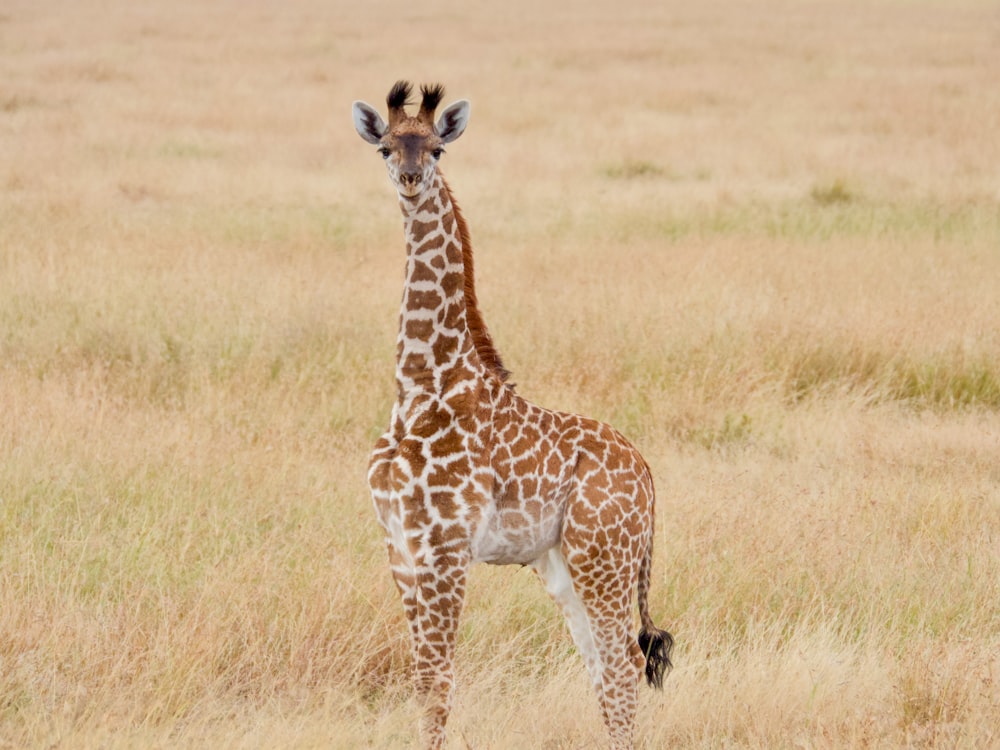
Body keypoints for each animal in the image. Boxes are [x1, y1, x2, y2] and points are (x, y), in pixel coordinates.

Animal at [352, 82, 672, 750]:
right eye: (387, 147)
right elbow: (422, 677)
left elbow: (438, 680)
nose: (411, 179)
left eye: (438, 149)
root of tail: (649, 477)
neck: (421, 382)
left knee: (622, 660)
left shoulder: (445, 545)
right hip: (564, 563)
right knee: (601, 663)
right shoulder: (398, 543)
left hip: (602, 556)